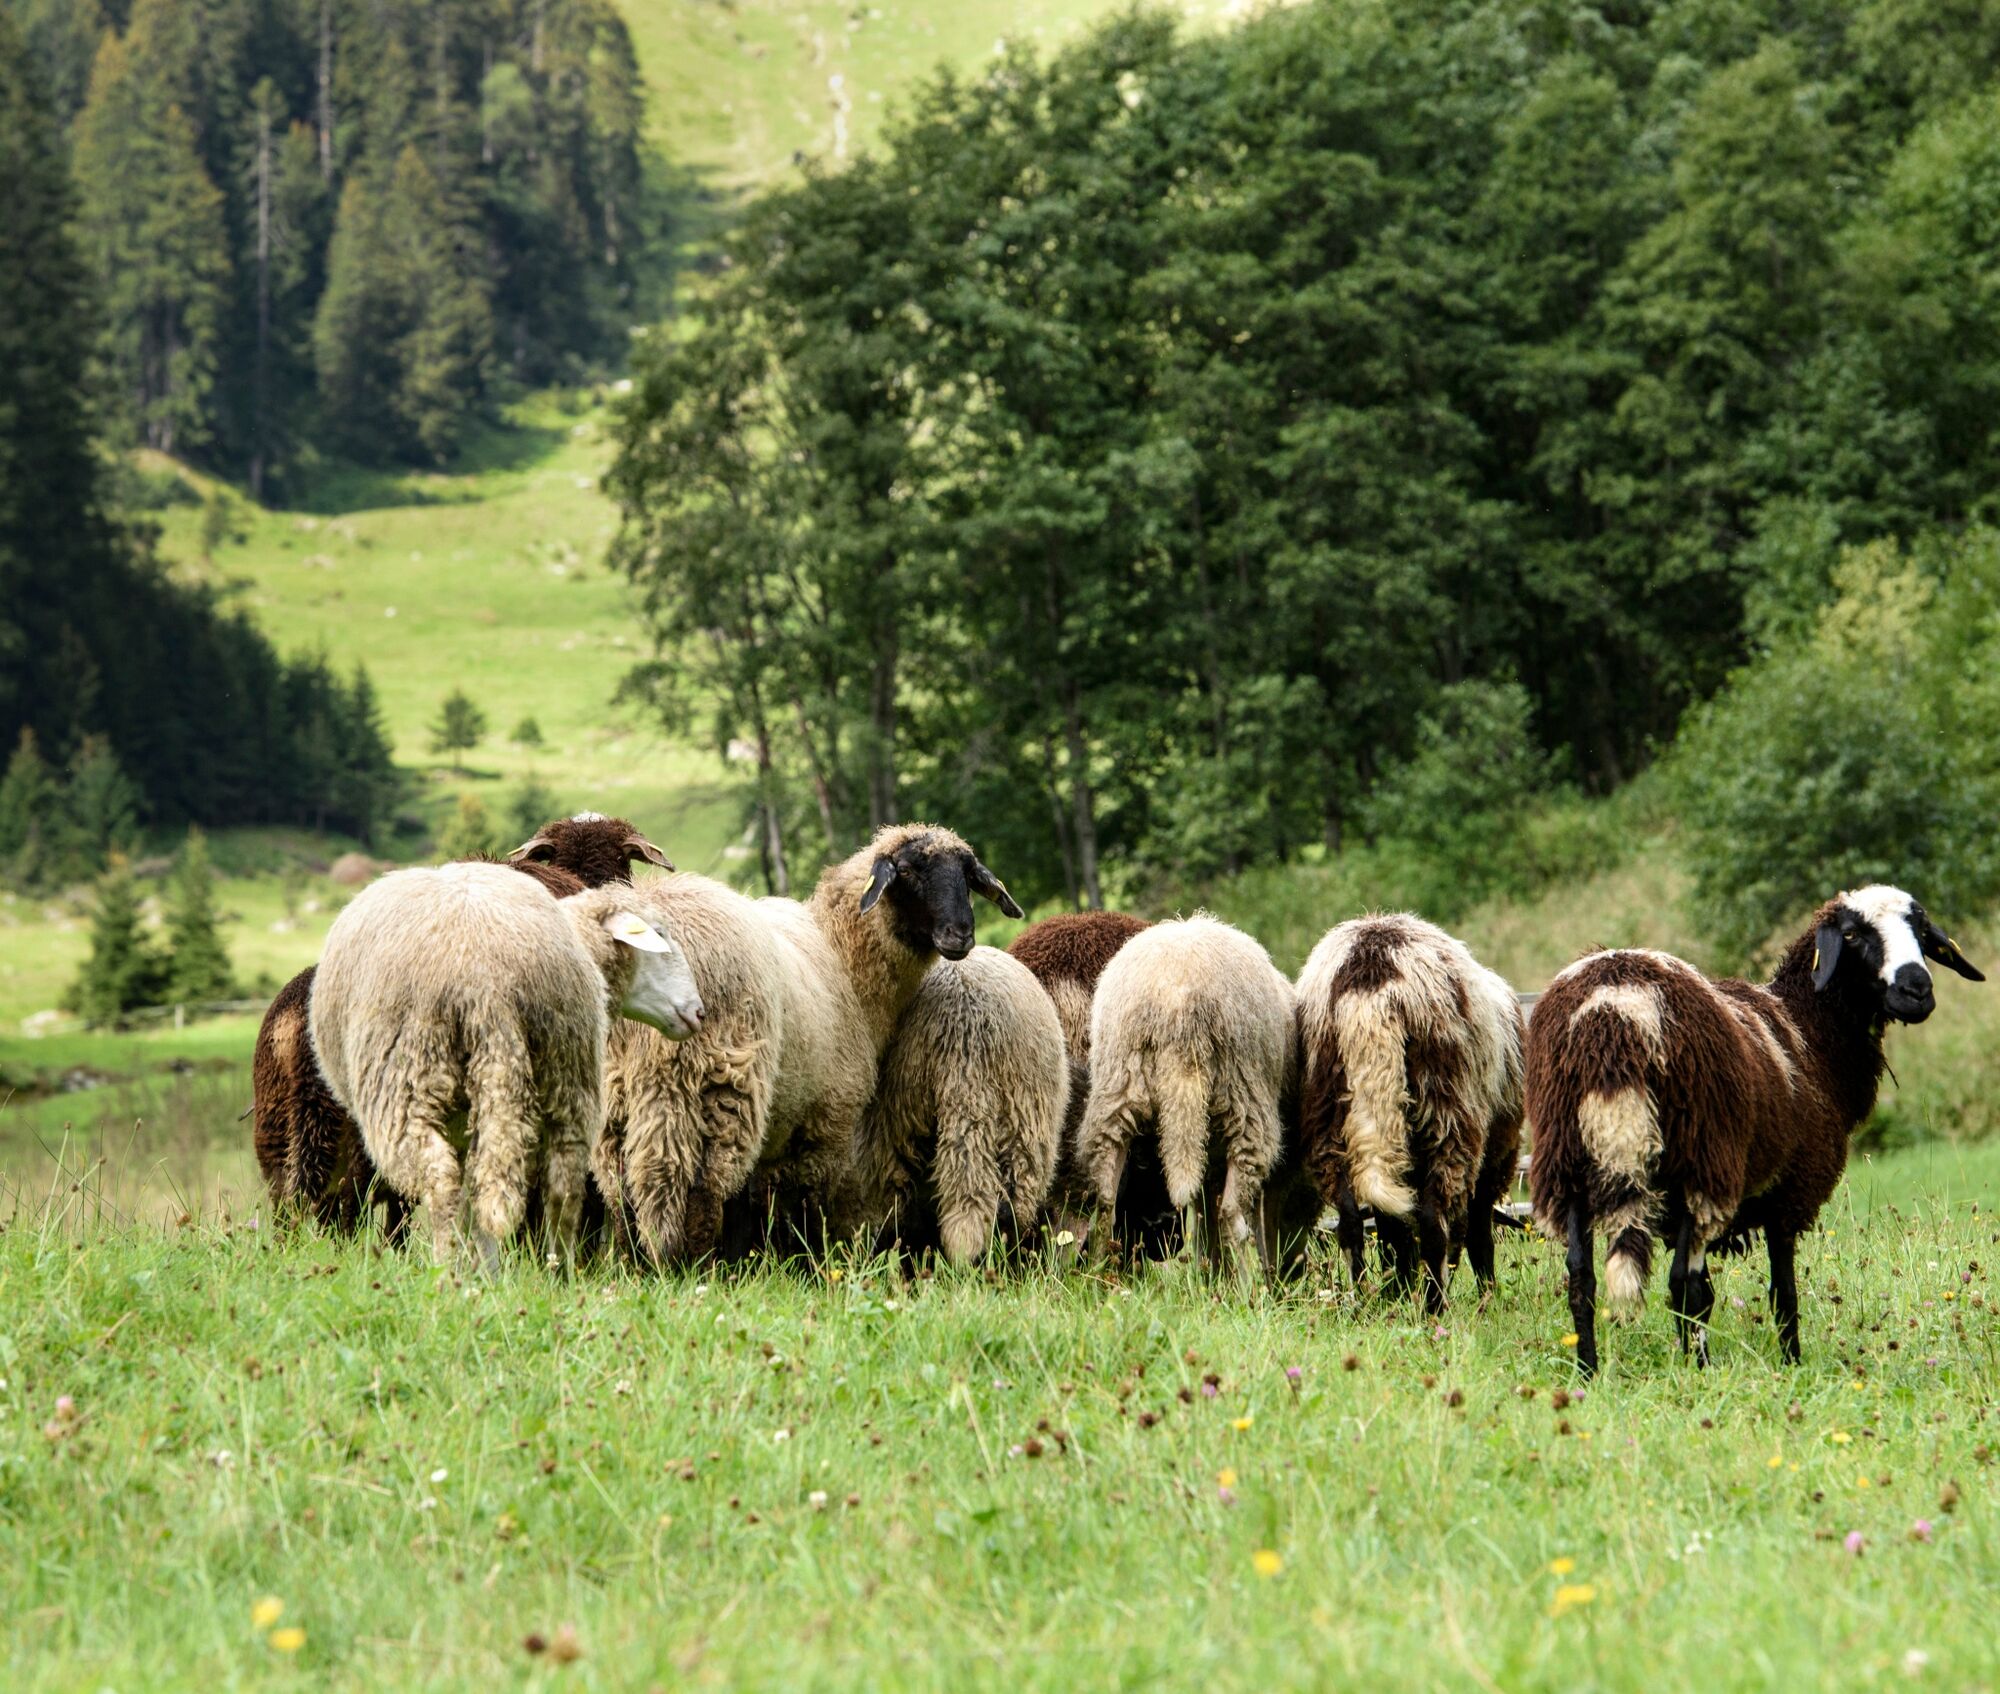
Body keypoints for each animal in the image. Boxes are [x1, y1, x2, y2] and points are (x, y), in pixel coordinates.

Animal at [309, 862, 705, 1267]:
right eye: (659, 936)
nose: (698, 1012)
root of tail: (486, 981)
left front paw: (470, 1262)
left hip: (412, 1079)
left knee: (445, 1180)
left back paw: (453, 1270)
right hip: (560, 1066)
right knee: (556, 1184)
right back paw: (544, 1269)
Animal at [601, 823, 1025, 1266]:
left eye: (968, 875)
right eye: (907, 871)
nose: (960, 935)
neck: (844, 957)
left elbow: (754, 1209)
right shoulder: (828, 1119)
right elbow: (807, 1206)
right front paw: (811, 1265)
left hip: (615, 1087)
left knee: (620, 1188)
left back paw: (636, 1265)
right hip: (713, 1079)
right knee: (701, 1188)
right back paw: (695, 1268)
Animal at [1076, 913, 1298, 1278]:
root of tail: (1176, 1004)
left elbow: (1204, 1214)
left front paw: (1211, 1273)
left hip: (1117, 1091)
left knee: (1106, 1200)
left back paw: (1097, 1274)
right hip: (1244, 1098)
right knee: (1232, 1212)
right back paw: (1249, 1287)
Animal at [1294, 914, 1524, 1311]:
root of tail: (1372, 985)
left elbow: (1393, 1232)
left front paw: (1397, 1290)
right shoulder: (1495, 1160)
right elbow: (1478, 1234)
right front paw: (1487, 1296)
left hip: (1327, 1104)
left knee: (1352, 1218)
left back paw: (1364, 1303)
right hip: (1447, 1107)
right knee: (1435, 1221)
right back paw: (1434, 1308)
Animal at [1527, 885, 1983, 1373]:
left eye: (1921, 930)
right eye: (1851, 934)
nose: (1917, 991)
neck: (1812, 1033)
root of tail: (1613, 1008)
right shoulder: (1791, 1192)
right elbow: (1783, 1293)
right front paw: (1792, 1362)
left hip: (1566, 1160)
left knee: (1582, 1281)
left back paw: (1588, 1372)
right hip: (1701, 1160)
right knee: (1682, 1286)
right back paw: (1699, 1373)